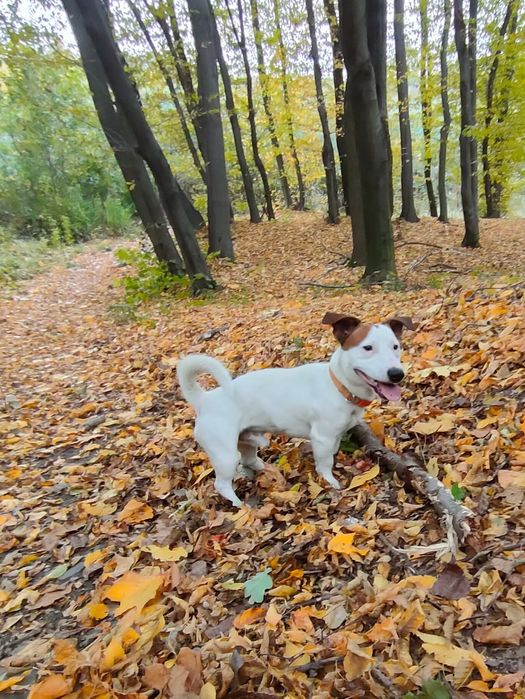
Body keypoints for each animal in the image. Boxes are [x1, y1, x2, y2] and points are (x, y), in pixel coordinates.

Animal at [176, 314, 414, 506]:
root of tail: (204, 400)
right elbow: (325, 463)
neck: (338, 385)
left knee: (249, 459)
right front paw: (330, 481)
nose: (396, 374)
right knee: (222, 484)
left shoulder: (335, 435)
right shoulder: (322, 437)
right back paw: (238, 504)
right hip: (224, 454)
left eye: (395, 346)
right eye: (367, 348)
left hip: (246, 441)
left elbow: (332, 452)